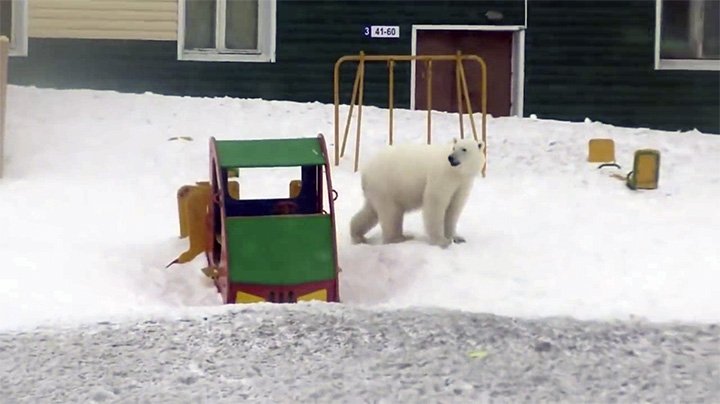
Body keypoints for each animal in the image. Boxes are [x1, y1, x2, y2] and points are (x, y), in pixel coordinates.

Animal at [348, 137, 484, 248]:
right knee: (391, 214)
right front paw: (441, 241)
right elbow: (435, 202)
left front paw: (457, 238)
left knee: (370, 212)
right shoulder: (441, 177)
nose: (451, 157)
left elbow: (454, 208)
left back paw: (358, 235)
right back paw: (401, 238)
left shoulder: (463, 183)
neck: (456, 173)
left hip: (378, 190)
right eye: (454, 148)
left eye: (464, 149)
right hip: (386, 185)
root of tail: (365, 172)